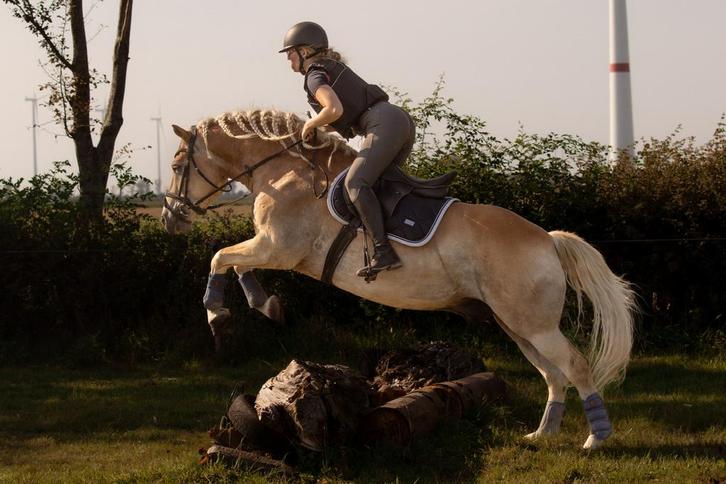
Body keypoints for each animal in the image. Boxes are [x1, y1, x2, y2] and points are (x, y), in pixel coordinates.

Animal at [161, 109, 636, 450]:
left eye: (179, 163)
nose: (170, 219)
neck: (282, 172)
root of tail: (548, 240)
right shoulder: (269, 249)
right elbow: (235, 263)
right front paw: (267, 305)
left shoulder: (278, 249)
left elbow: (221, 258)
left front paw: (218, 314)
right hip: (518, 325)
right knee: (553, 374)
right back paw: (543, 434)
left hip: (533, 324)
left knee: (575, 365)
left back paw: (596, 439)